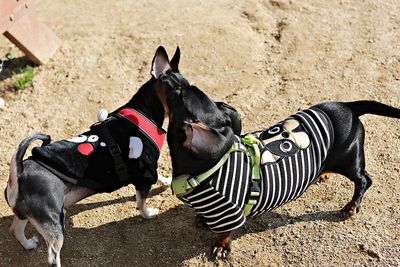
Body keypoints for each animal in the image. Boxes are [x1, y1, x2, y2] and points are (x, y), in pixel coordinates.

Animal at [4, 46, 189, 267]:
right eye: (179, 91)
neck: (144, 112)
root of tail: (19, 172)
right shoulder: (144, 174)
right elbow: (141, 203)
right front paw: (148, 214)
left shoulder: (149, 167)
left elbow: (159, 175)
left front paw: (167, 180)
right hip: (54, 225)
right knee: (52, 255)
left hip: (23, 214)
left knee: (15, 230)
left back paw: (28, 244)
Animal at [159, 84, 400, 262]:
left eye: (179, 94)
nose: (168, 78)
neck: (211, 166)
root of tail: (348, 107)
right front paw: (202, 218)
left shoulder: (230, 213)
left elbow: (224, 233)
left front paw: (221, 248)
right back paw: (322, 174)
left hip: (349, 162)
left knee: (364, 180)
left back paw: (351, 206)